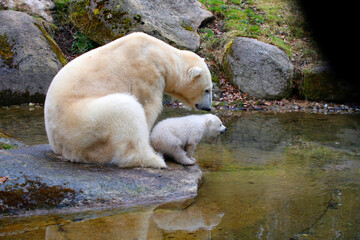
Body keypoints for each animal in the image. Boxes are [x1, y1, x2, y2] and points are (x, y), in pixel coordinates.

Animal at [45, 31, 214, 168]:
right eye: (207, 89)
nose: (208, 107)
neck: (159, 53)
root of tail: (61, 147)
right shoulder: (146, 72)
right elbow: (148, 107)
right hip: (84, 123)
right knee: (125, 110)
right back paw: (154, 158)